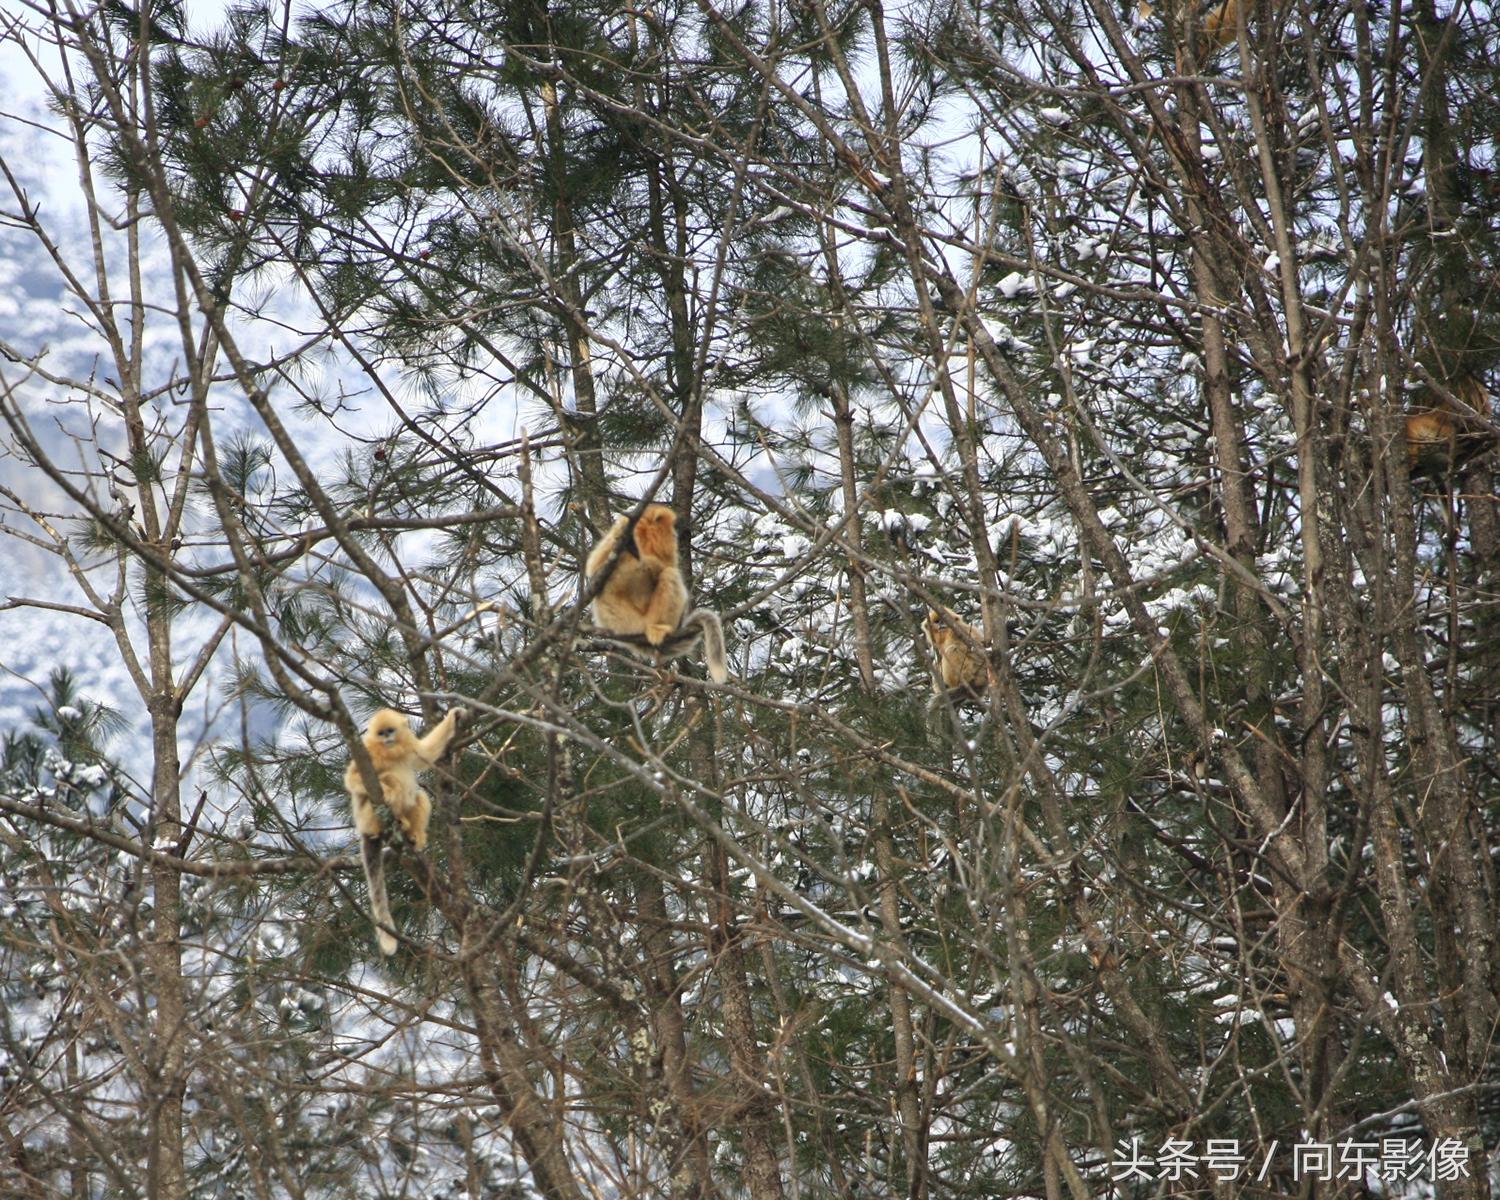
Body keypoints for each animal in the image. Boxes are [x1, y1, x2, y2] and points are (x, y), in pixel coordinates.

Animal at [345, 702, 462, 954]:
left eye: (390, 731)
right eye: (381, 733)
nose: (387, 738)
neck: (389, 752)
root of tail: (365, 829)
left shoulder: (410, 748)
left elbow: (427, 753)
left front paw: (454, 716)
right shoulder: (368, 754)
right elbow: (352, 779)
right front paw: (386, 790)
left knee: (420, 797)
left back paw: (411, 832)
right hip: (367, 816)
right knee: (390, 781)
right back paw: (393, 810)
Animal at [582, 498, 729, 684]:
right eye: (670, 527)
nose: (674, 534)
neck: (644, 540)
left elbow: (665, 567)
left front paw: (651, 564)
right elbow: (593, 569)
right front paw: (623, 530)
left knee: (670, 574)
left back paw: (658, 628)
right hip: (620, 618)